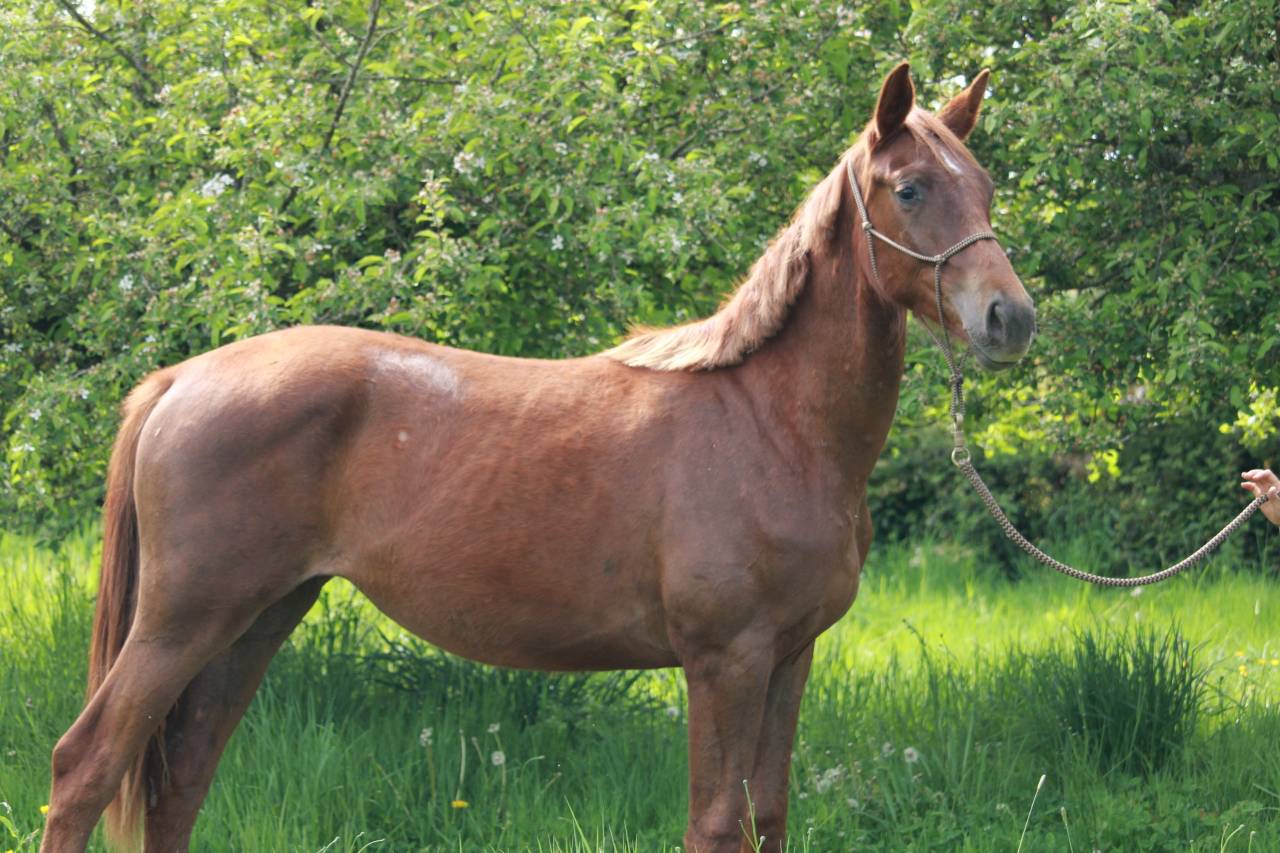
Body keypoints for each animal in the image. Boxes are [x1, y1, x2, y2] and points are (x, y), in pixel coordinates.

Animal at [41, 62, 1035, 852]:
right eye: (909, 188)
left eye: (985, 186)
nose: (1010, 318)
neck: (770, 423)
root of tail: (181, 378)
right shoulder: (726, 660)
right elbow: (715, 824)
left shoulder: (790, 658)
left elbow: (769, 817)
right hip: (182, 620)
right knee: (85, 766)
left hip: (254, 619)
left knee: (179, 779)